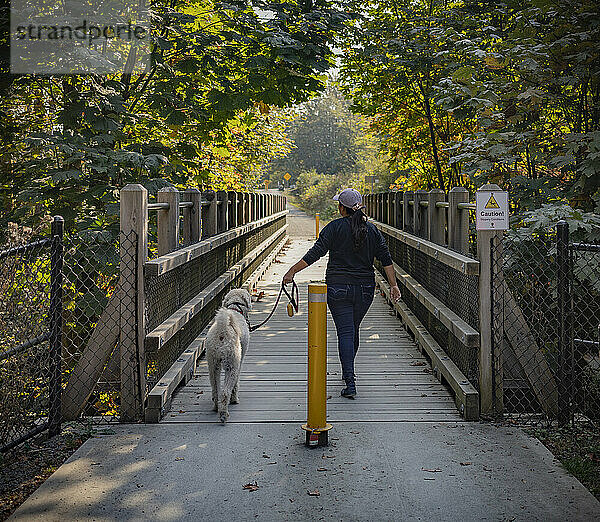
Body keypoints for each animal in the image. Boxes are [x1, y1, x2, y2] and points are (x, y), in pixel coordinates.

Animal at [205, 286, 252, 424]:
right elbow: (236, 383)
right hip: (231, 363)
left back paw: (216, 407)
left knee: (216, 389)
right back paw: (224, 414)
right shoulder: (239, 360)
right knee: (225, 392)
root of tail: (222, 330)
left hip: (213, 363)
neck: (235, 308)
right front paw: (234, 399)